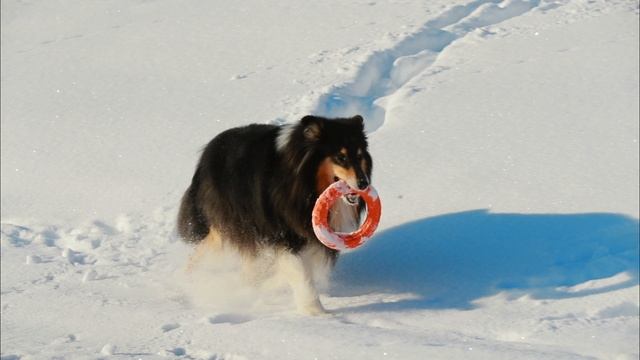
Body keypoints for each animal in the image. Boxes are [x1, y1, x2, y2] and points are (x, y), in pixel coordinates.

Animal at [178, 115, 372, 316]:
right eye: (341, 157)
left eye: (360, 156)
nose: (364, 183)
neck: (306, 185)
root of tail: (207, 152)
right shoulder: (282, 234)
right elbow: (300, 272)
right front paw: (314, 310)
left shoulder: (314, 240)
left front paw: (270, 285)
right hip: (231, 225)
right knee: (202, 252)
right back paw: (186, 284)